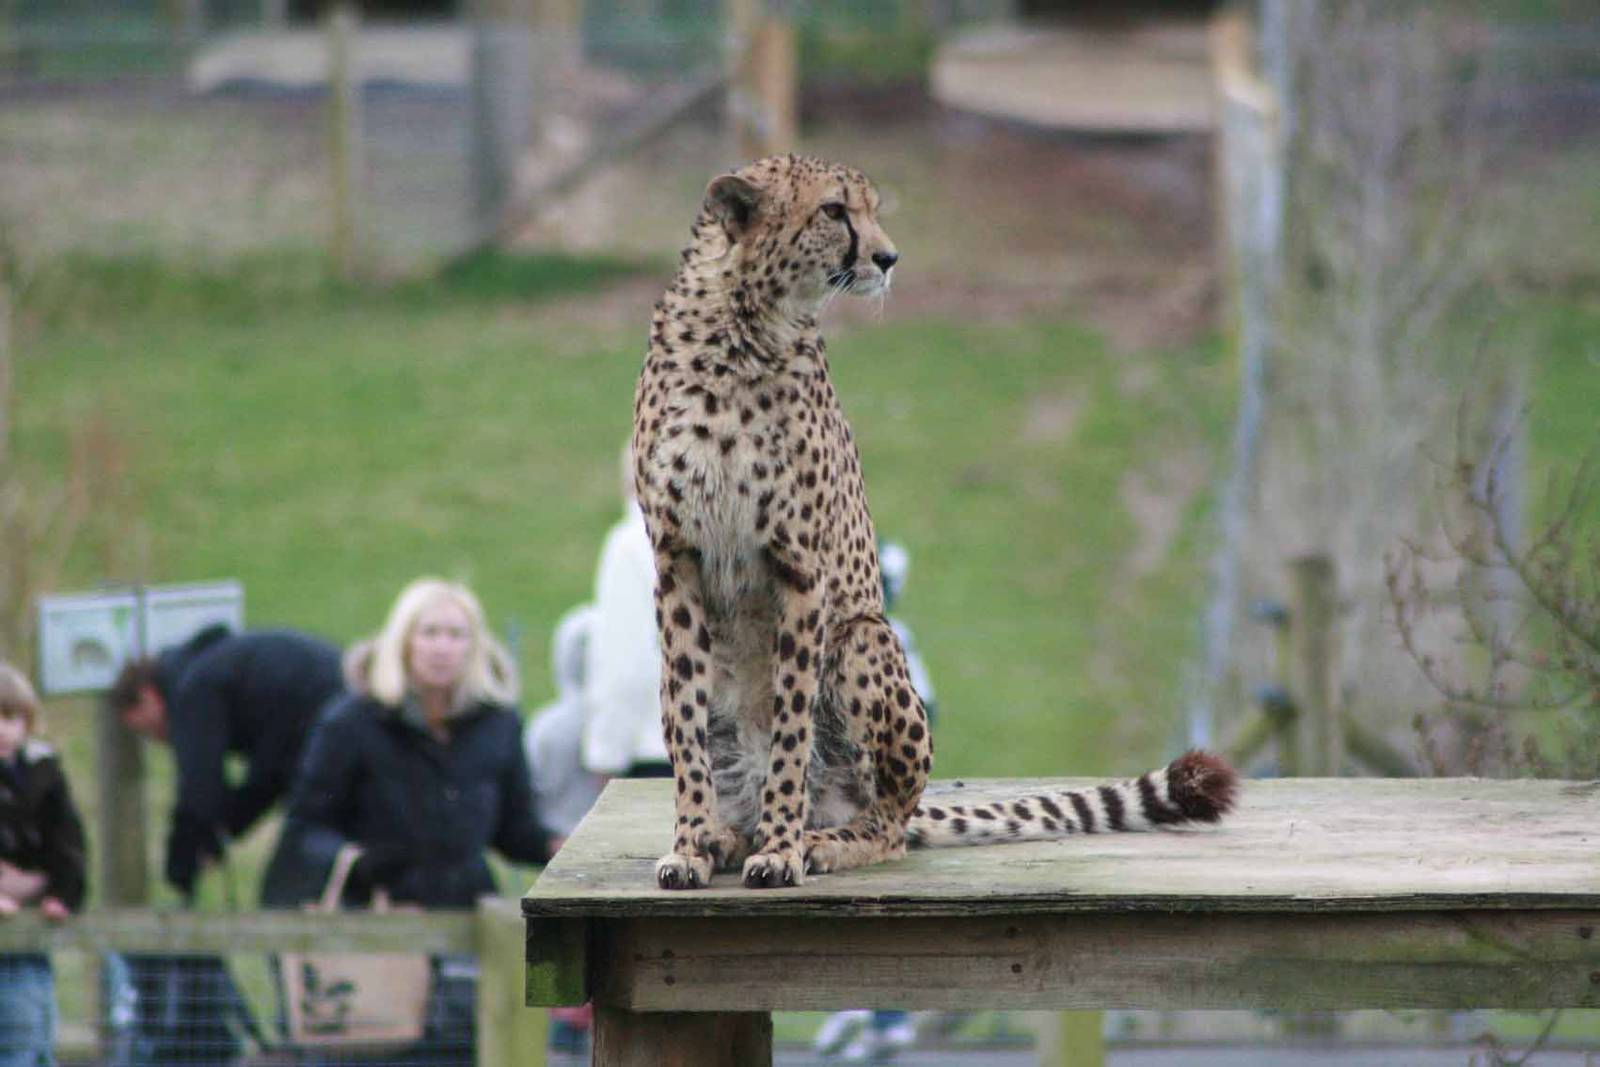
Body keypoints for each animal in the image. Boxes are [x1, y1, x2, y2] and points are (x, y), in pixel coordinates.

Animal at [631, 153, 1238, 890]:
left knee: (890, 821)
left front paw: (780, 849)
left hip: (864, 638)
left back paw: (823, 838)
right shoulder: (677, 560)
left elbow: (790, 727)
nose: (888, 257)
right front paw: (691, 842)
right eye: (835, 211)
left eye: (872, 208)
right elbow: (690, 722)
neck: (741, 330)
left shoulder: (799, 567)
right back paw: (729, 832)